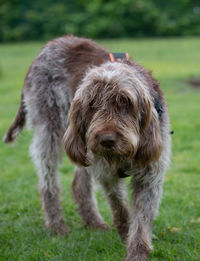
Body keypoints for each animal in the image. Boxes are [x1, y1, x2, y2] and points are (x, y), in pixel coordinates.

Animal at [3, 35, 170, 260]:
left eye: (125, 101)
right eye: (91, 104)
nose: (107, 140)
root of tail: (49, 45)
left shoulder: (150, 174)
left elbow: (142, 218)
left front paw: (137, 250)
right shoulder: (105, 172)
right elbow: (119, 207)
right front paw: (125, 232)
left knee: (79, 184)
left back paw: (93, 222)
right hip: (52, 132)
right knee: (48, 183)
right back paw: (56, 225)